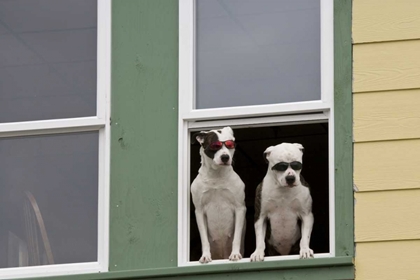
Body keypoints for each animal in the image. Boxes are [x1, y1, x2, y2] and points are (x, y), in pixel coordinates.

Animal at [190, 128, 246, 264]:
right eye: (215, 145)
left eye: (230, 145)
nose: (225, 157)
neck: (216, 175)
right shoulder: (199, 211)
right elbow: (204, 239)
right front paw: (205, 256)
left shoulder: (240, 208)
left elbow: (236, 237)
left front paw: (235, 254)